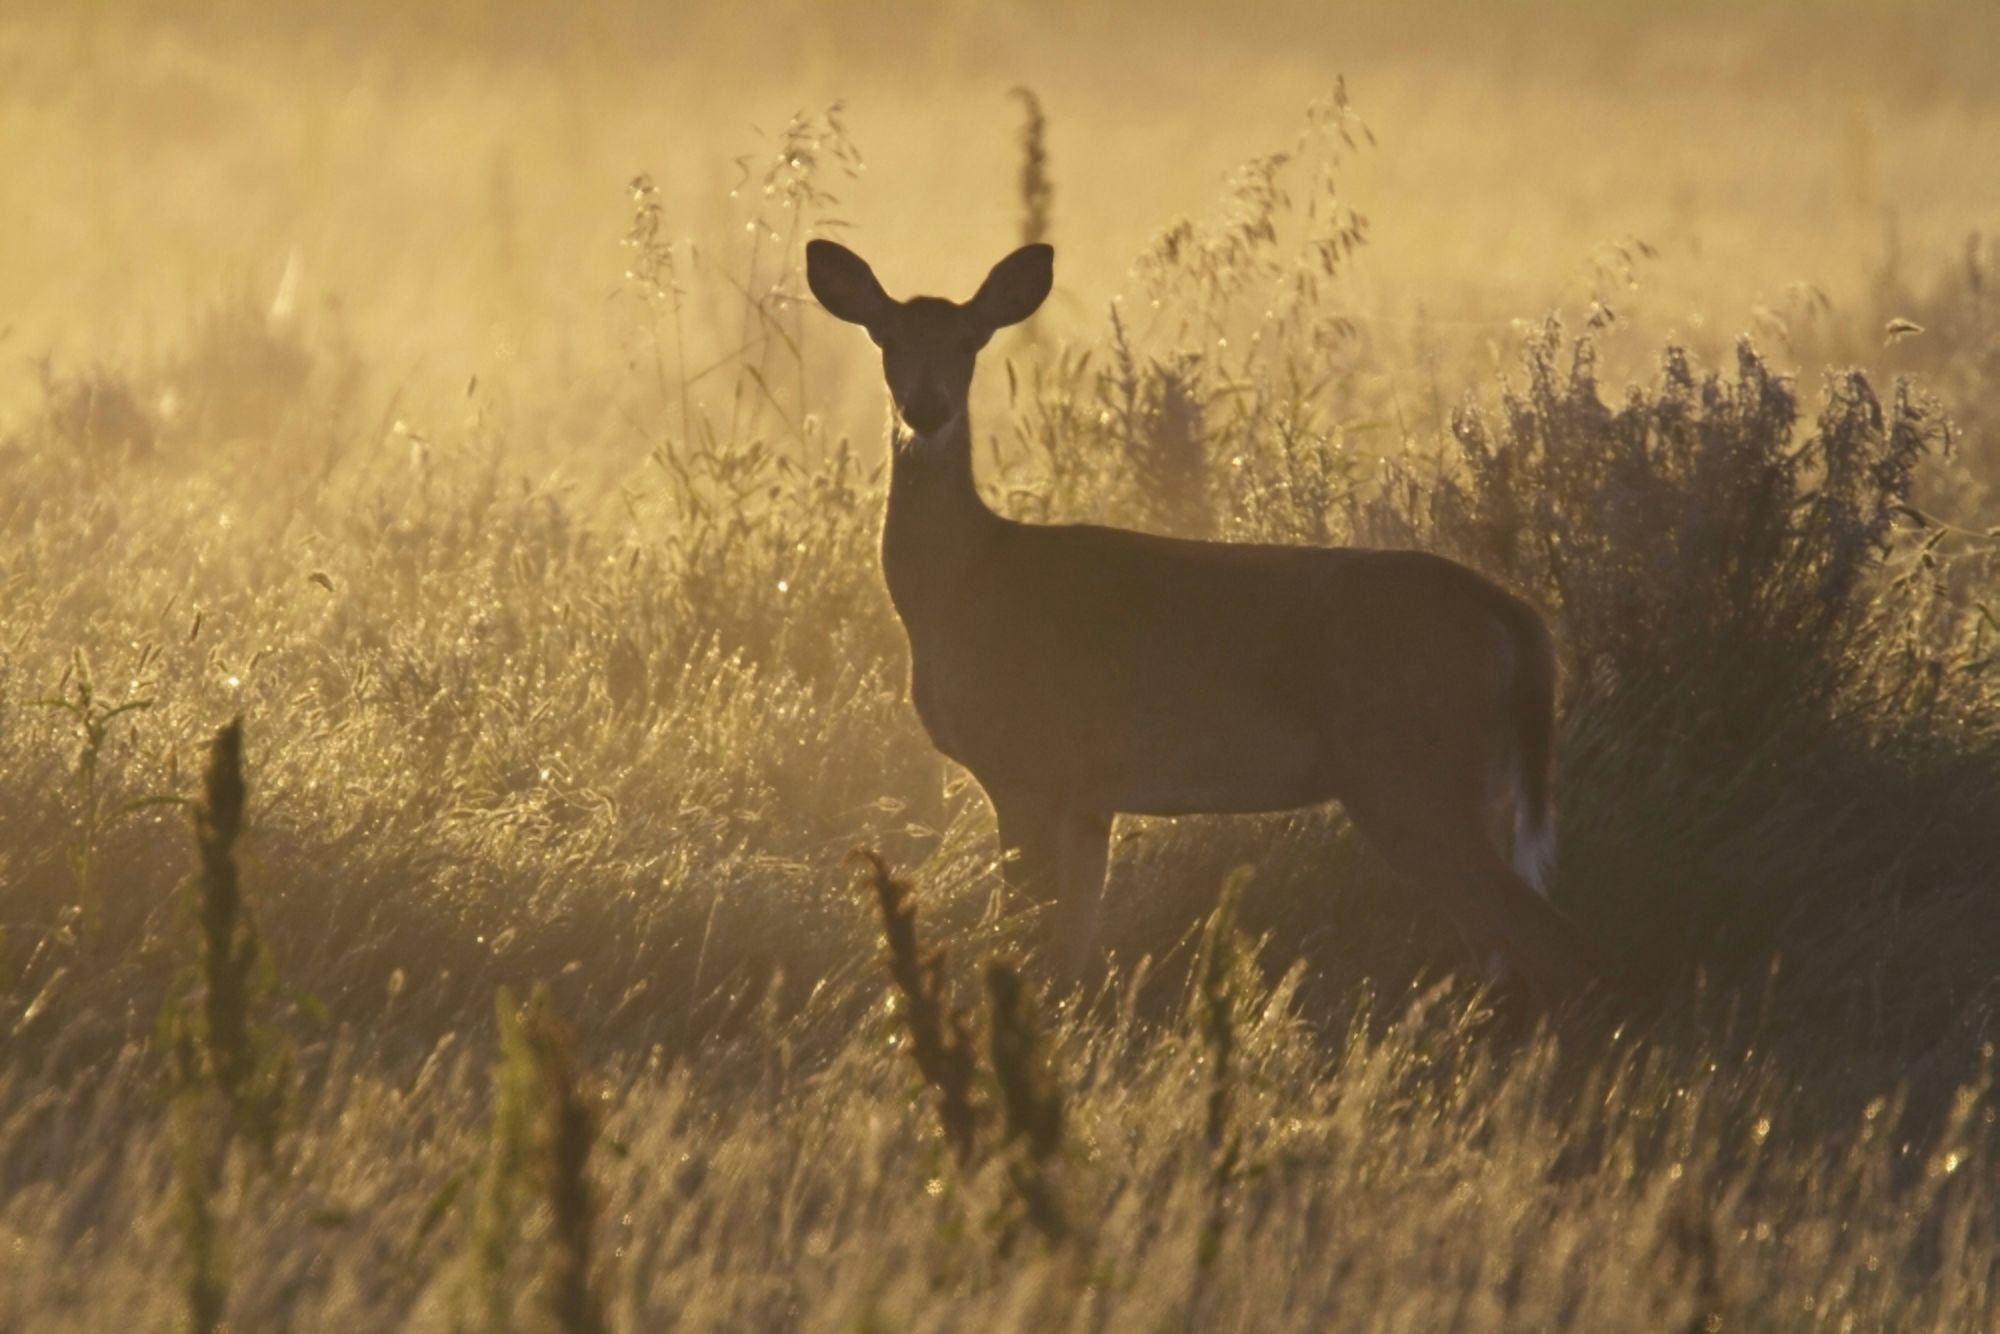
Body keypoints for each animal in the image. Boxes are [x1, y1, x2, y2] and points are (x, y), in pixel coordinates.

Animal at [805, 238, 1596, 1005]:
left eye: (971, 340)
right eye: (886, 337)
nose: (926, 410)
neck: (962, 583)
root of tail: (1514, 617)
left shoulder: (1025, 763)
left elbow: (1025, 939)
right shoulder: (1088, 797)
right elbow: (1068, 954)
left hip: (1408, 771)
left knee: (1551, 940)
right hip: (1473, 785)